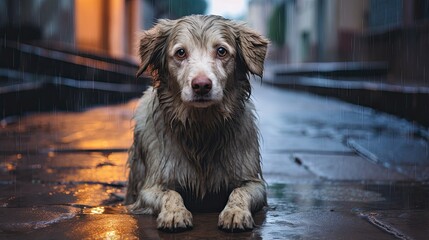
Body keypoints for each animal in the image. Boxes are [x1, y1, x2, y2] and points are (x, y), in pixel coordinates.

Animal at [124, 14, 268, 232]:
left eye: (221, 51)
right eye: (181, 52)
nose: (201, 85)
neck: (202, 126)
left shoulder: (254, 183)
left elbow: (239, 192)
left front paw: (235, 212)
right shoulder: (150, 188)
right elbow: (171, 193)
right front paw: (175, 213)